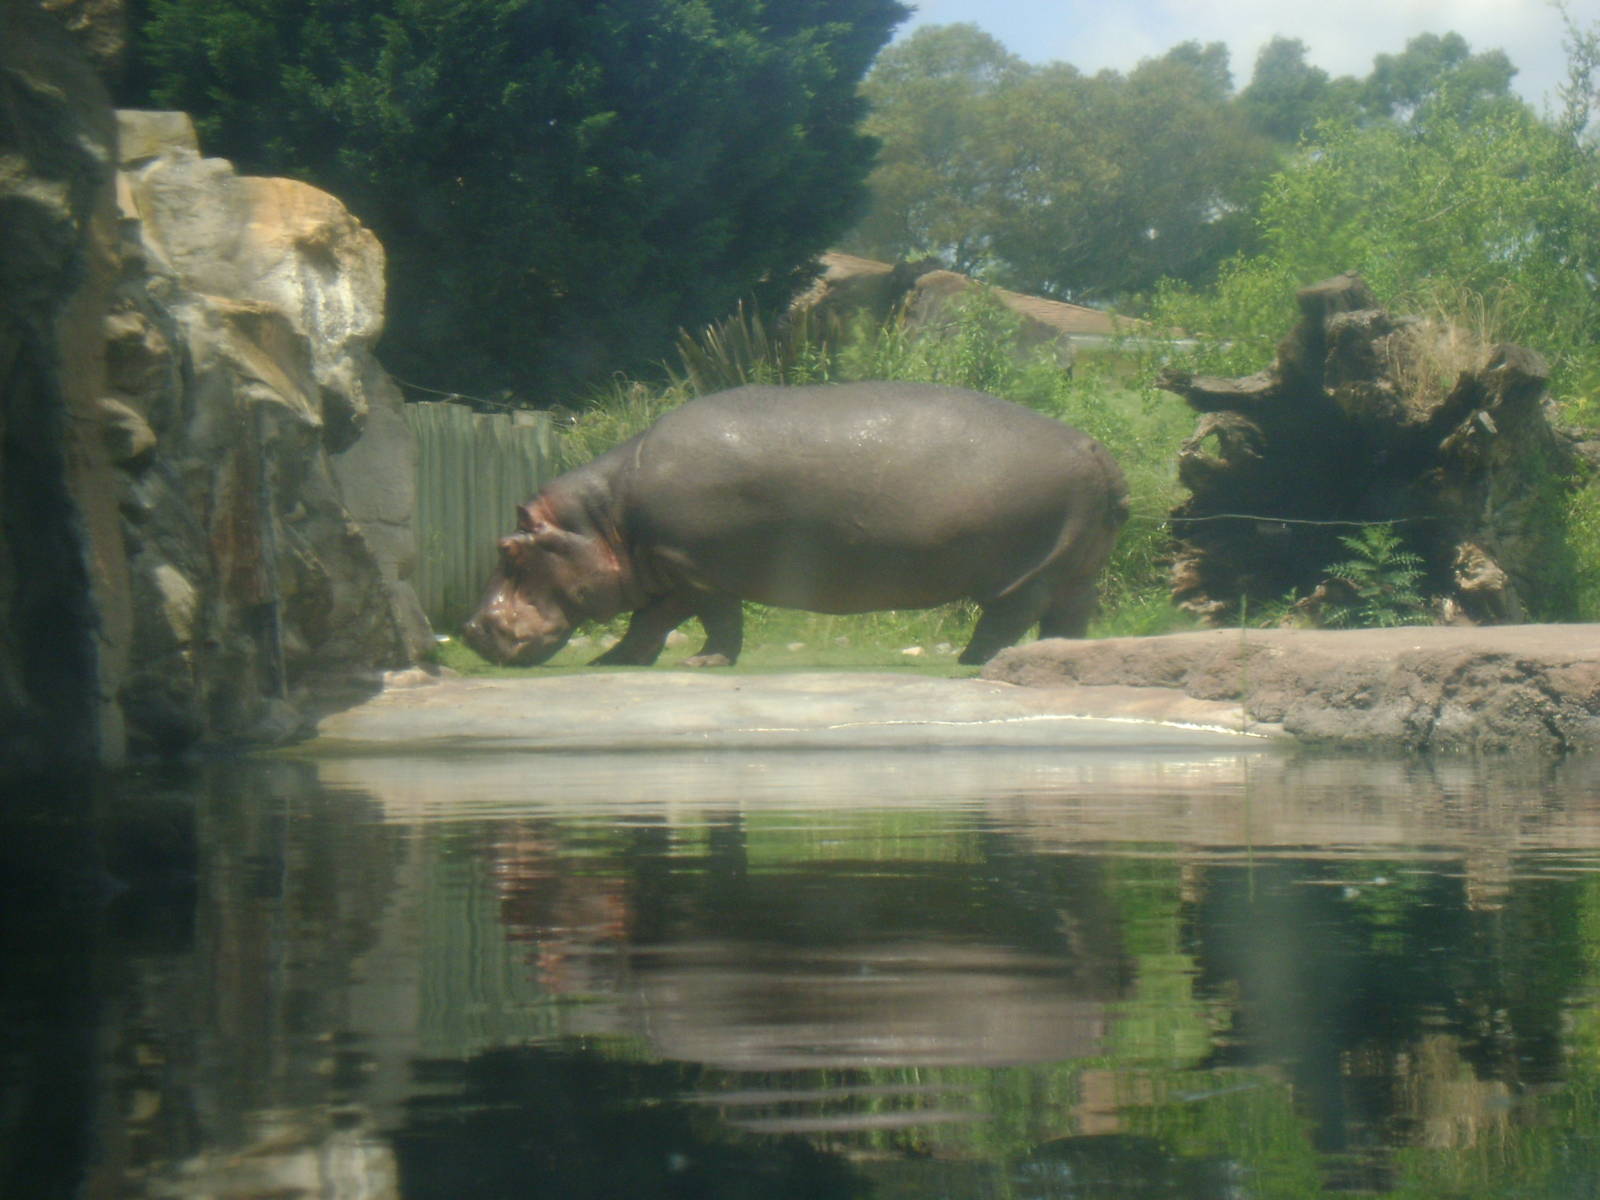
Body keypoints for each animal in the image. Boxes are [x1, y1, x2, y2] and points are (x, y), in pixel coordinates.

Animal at [462, 382, 1129, 667]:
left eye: (508, 547)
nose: (469, 629)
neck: (604, 518)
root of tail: (1096, 447)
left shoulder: (693, 567)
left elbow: (712, 619)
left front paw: (702, 664)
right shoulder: (670, 569)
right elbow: (648, 622)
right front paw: (614, 663)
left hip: (1025, 567)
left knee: (1009, 615)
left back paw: (971, 661)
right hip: (1076, 563)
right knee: (1068, 615)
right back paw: (1056, 656)